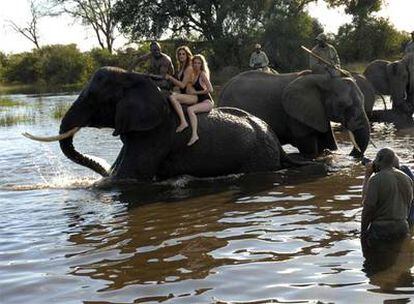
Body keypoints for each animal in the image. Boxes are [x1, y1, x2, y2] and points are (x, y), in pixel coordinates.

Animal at [25, 66, 304, 180]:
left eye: (93, 97)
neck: (136, 79)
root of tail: (276, 143)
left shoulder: (156, 135)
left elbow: (127, 177)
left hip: (258, 157)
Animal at [218, 70, 370, 158]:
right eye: (343, 105)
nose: (352, 155)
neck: (322, 79)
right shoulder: (295, 115)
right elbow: (308, 146)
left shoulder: (318, 112)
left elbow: (327, 142)